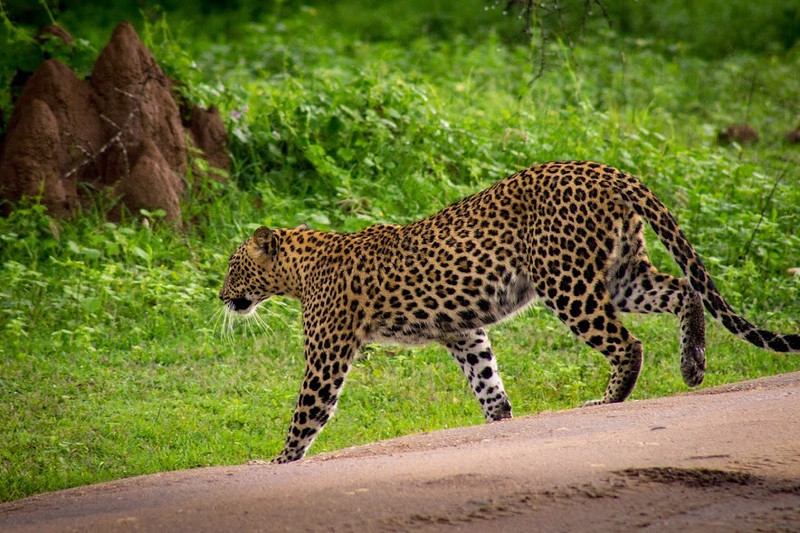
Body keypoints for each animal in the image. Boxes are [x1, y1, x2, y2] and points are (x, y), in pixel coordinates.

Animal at [219, 158, 800, 462]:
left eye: (233, 267)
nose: (222, 297)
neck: (300, 269)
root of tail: (604, 169)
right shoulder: (462, 332)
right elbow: (486, 380)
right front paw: (500, 422)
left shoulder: (328, 352)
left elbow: (307, 411)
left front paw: (277, 461)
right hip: (623, 274)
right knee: (684, 290)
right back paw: (693, 363)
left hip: (566, 282)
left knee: (627, 343)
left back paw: (609, 399)